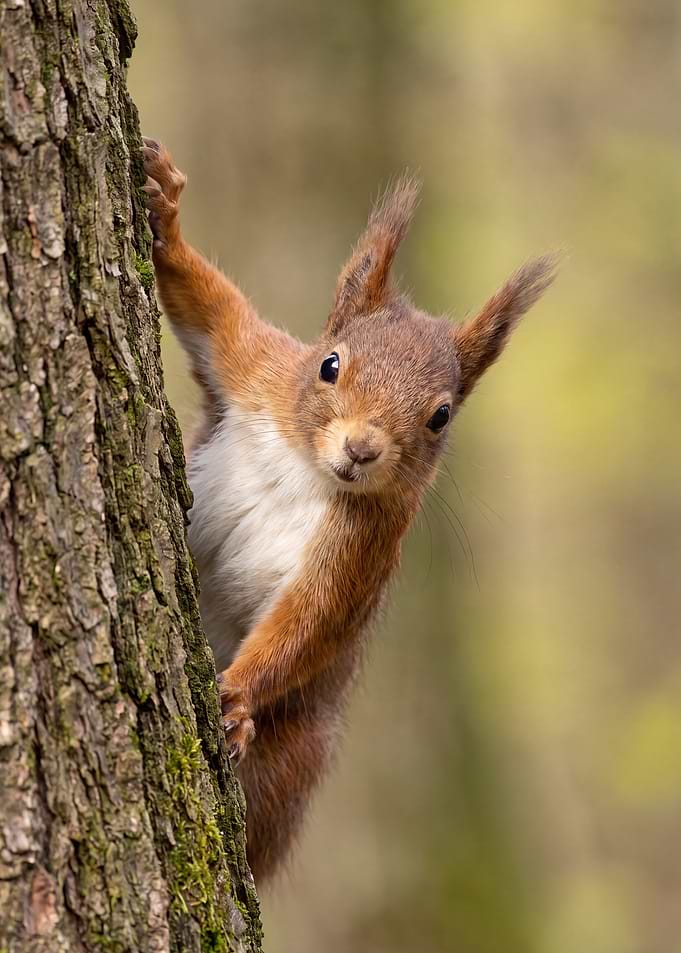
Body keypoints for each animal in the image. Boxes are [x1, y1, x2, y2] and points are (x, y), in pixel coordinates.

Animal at [142, 138, 556, 883]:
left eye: (440, 416)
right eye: (329, 365)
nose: (361, 449)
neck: (307, 467)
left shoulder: (365, 548)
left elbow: (310, 620)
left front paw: (238, 694)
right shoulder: (254, 368)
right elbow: (207, 308)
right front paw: (165, 206)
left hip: (298, 754)